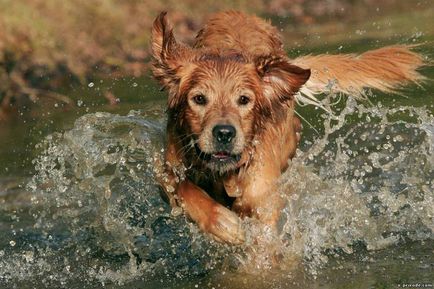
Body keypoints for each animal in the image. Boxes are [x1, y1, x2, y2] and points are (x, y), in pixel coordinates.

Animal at [151, 10, 426, 243]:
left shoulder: (263, 200)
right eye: (199, 99)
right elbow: (184, 189)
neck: (226, 175)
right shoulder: (166, 169)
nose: (224, 133)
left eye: (244, 100)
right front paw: (223, 224)